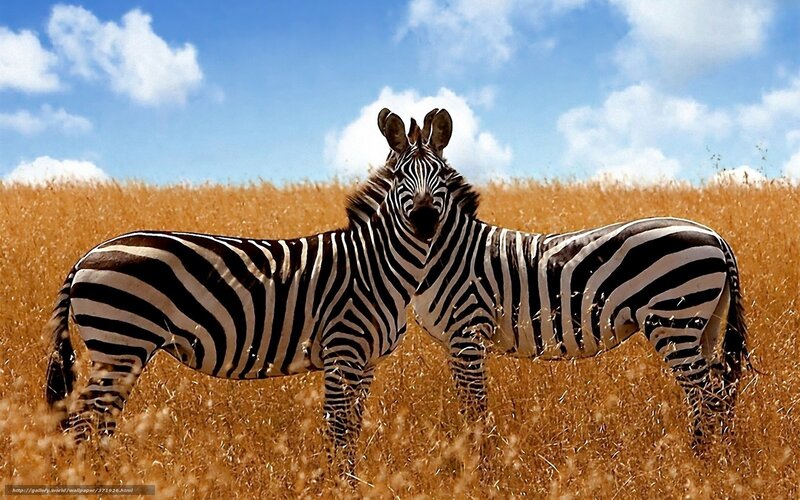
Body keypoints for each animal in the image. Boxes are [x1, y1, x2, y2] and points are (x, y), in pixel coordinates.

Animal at [44, 107, 463, 478]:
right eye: (401, 178)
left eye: (441, 176)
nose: (425, 220)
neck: (377, 262)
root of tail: (86, 256)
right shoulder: (342, 350)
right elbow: (339, 427)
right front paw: (340, 483)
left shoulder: (366, 362)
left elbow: (353, 427)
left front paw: (349, 480)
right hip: (119, 342)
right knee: (84, 421)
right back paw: (93, 480)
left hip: (118, 349)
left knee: (96, 420)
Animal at [348, 120, 754, 450]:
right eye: (400, 176)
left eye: (442, 177)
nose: (425, 220)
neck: (448, 252)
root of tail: (715, 235)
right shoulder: (459, 340)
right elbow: (470, 405)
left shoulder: (467, 333)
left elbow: (475, 407)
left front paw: (480, 465)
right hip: (703, 322)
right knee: (718, 387)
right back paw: (714, 457)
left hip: (673, 319)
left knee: (704, 393)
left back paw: (697, 459)